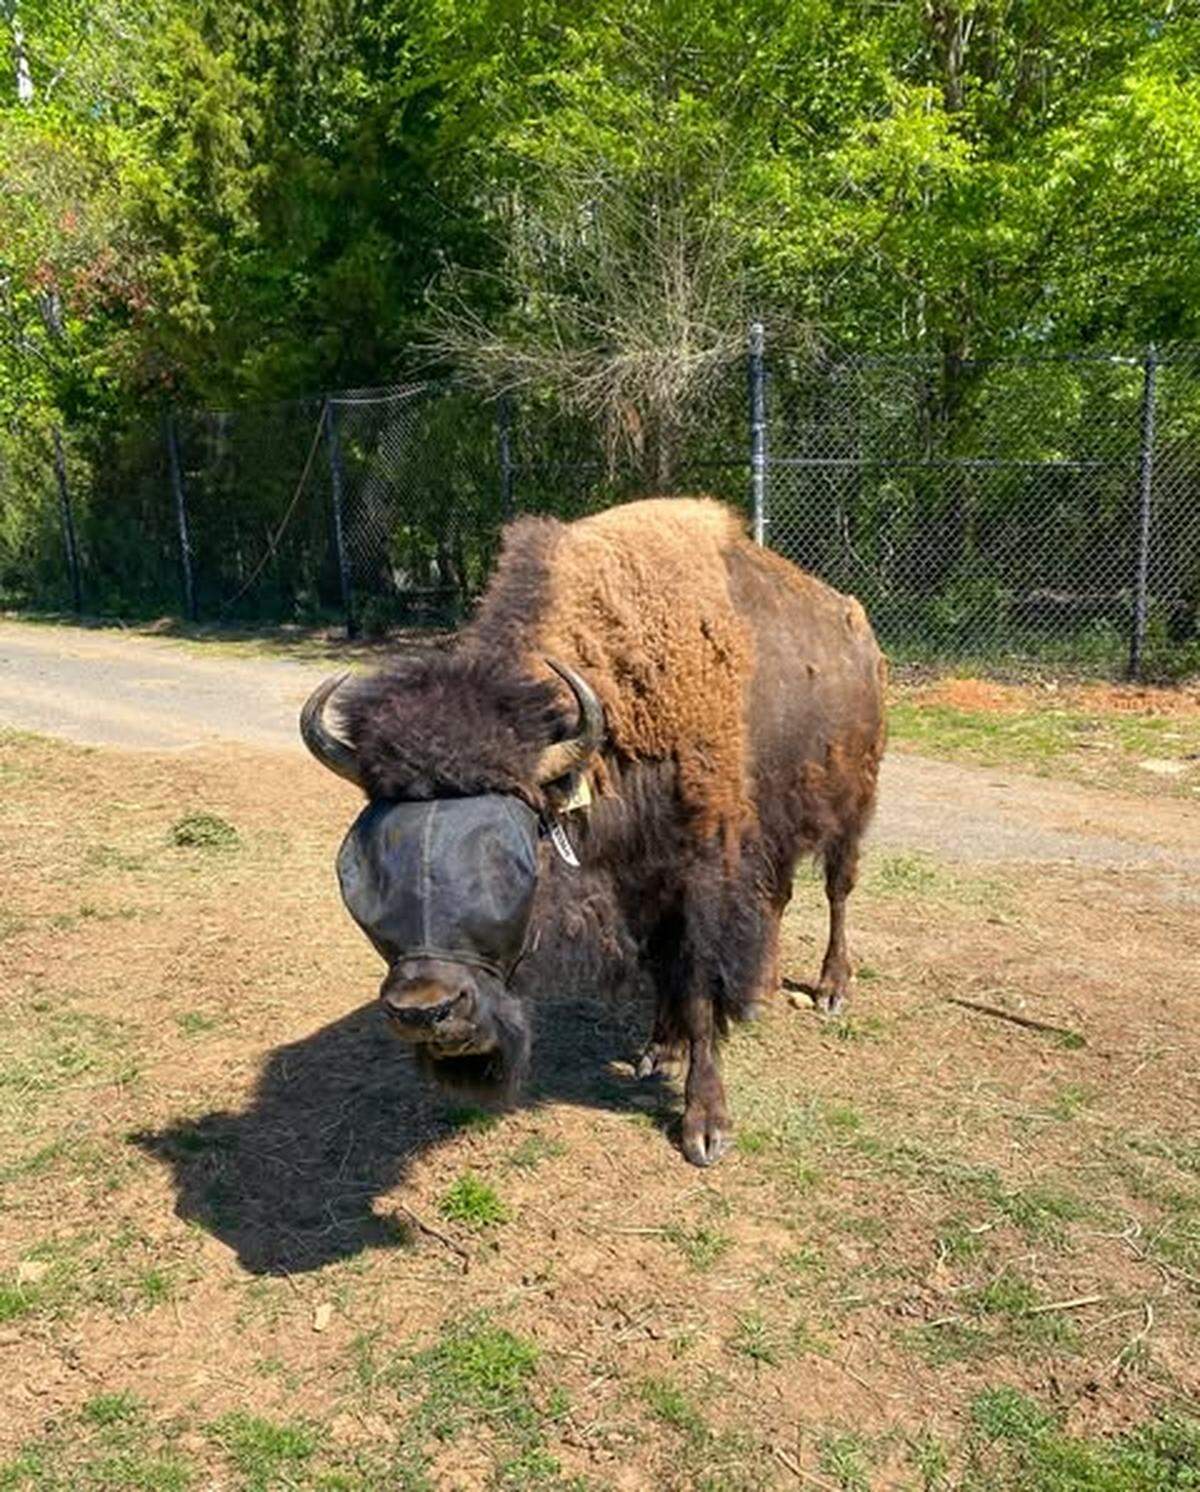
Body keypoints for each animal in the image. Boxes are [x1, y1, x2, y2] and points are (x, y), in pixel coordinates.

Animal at [301, 498, 886, 1165]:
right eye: (363, 868)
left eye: (511, 858)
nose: (428, 1012)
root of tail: (857, 629)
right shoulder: (648, 882)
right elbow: (665, 970)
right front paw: (660, 1051)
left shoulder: (701, 872)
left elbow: (699, 985)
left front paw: (705, 1126)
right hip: (775, 828)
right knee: (780, 895)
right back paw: (760, 994)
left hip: (849, 803)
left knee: (838, 889)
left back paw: (832, 990)